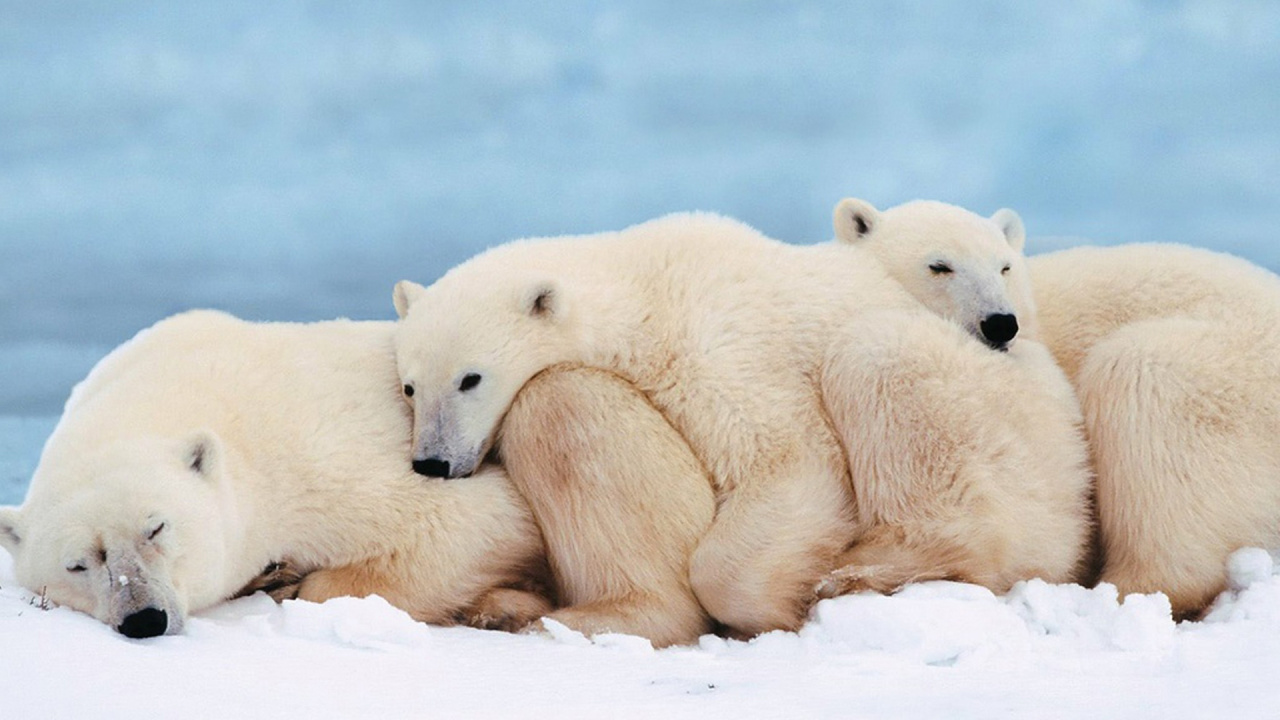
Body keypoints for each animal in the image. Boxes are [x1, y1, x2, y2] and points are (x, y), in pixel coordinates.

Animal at [0, 310, 713, 644]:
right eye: (78, 564)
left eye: (157, 527)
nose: (143, 618)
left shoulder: (316, 455)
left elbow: (472, 522)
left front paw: (293, 580)